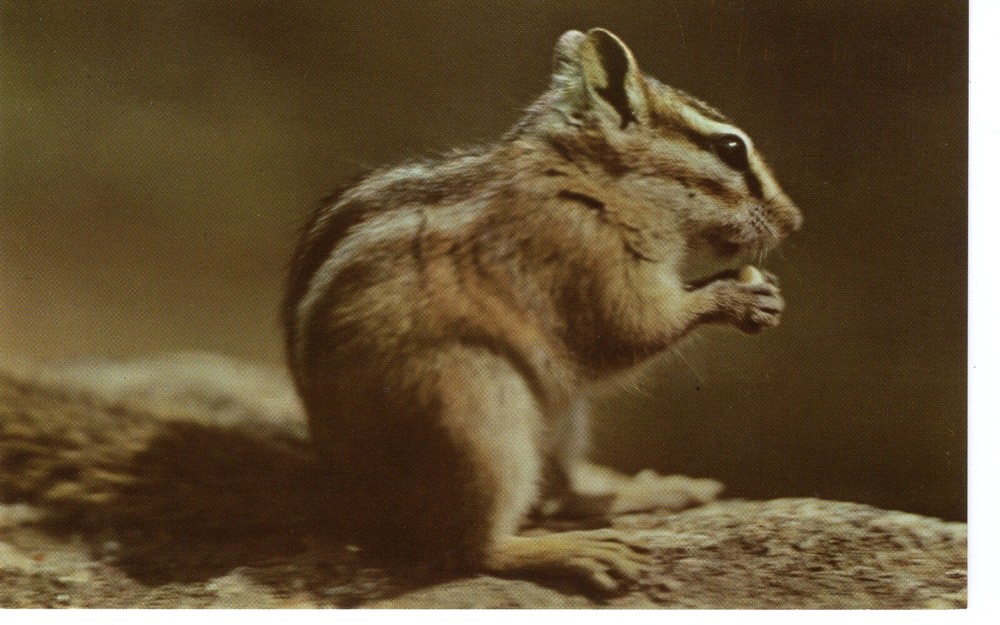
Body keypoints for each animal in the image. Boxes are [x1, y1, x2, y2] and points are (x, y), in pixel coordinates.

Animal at [283, 28, 802, 591]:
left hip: (560, 415)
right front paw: (734, 296)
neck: (596, 182)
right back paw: (578, 552)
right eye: (730, 148)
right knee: (471, 550)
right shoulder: (582, 256)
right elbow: (632, 329)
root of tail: (354, 499)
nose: (795, 221)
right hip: (477, 411)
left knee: (557, 498)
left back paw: (651, 492)